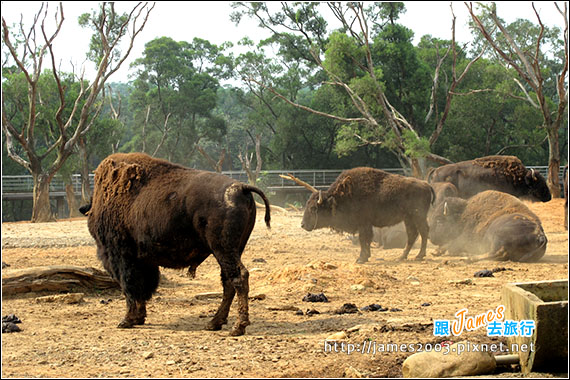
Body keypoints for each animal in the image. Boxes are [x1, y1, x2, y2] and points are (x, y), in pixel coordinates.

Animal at [79, 151, 270, 336]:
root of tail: (240, 188)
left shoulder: (123, 257)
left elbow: (131, 287)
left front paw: (127, 320)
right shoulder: (144, 261)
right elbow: (143, 286)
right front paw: (139, 318)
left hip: (223, 249)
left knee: (238, 278)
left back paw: (237, 327)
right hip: (233, 249)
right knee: (228, 281)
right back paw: (214, 323)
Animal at [300, 168, 432, 262]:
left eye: (313, 208)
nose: (302, 225)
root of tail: (426, 185)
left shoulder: (363, 224)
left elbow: (363, 239)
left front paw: (361, 258)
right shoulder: (365, 225)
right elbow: (366, 240)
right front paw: (366, 256)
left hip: (418, 216)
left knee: (424, 232)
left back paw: (419, 256)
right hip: (408, 218)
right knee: (412, 234)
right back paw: (401, 257)